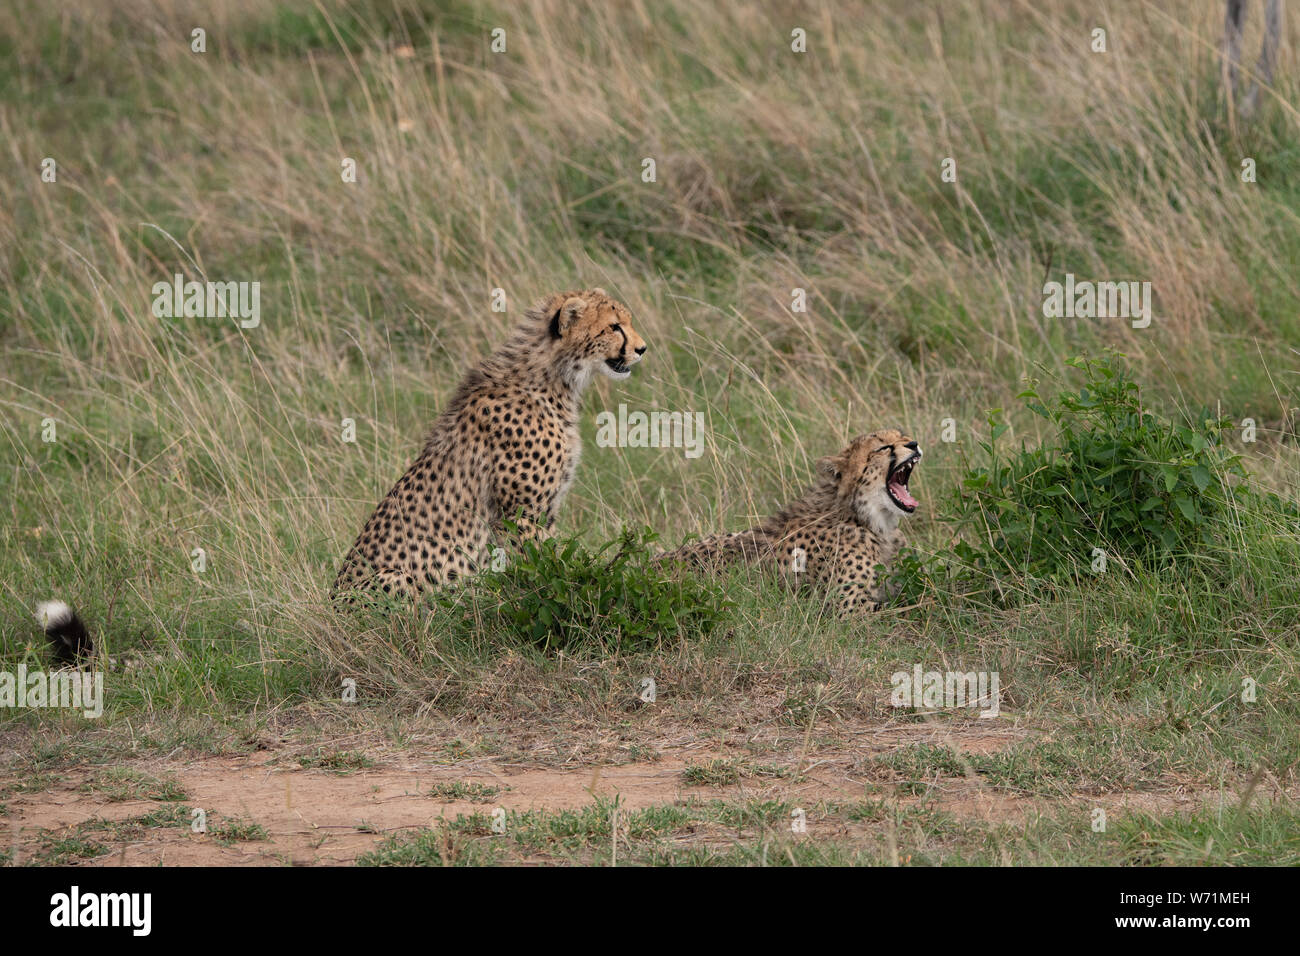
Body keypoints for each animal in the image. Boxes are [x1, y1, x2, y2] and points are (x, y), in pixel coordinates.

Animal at [330, 287, 644, 600]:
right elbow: (540, 567)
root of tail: (331, 600)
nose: (642, 349)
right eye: (614, 327)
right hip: (395, 577)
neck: (554, 380)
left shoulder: (545, 510)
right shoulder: (522, 514)